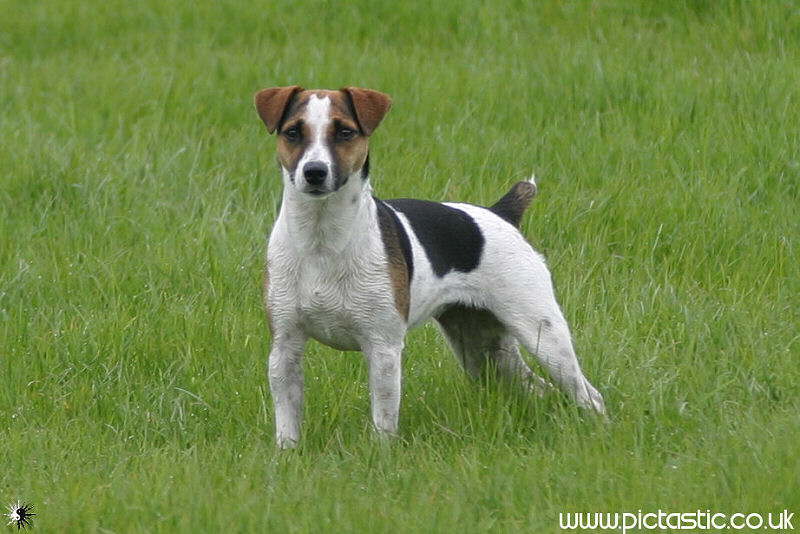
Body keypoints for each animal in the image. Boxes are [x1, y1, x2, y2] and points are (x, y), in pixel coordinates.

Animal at [253, 86, 604, 450]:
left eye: (345, 132)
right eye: (293, 132)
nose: (315, 171)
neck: (321, 240)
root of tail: (501, 213)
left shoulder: (383, 348)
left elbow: (384, 419)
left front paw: (380, 456)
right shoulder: (285, 347)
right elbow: (287, 419)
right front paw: (287, 454)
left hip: (543, 335)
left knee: (589, 394)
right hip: (484, 349)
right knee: (538, 387)